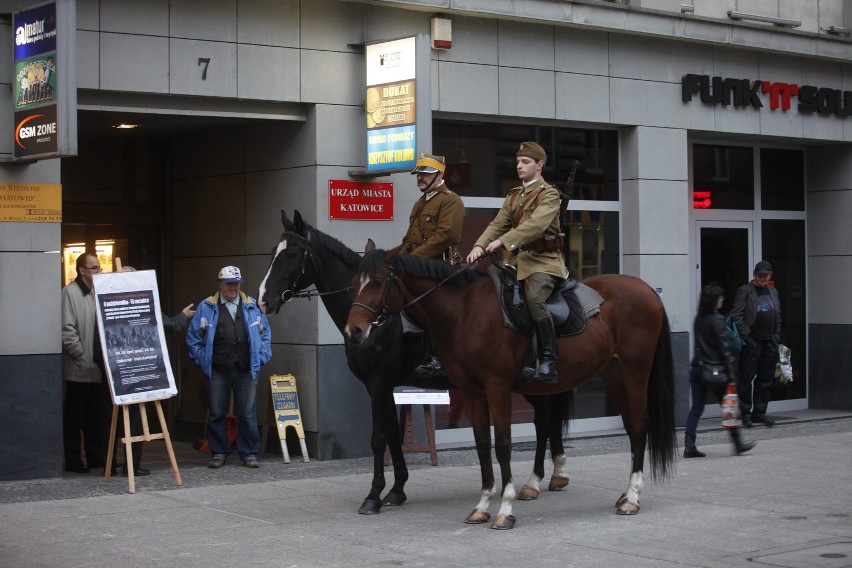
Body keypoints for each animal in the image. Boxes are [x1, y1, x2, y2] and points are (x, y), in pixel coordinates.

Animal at [256, 212, 568, 516]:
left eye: (292, 253)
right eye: (272, 252)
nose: (263, 301)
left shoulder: (379, 382)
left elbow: (378, 437)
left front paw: (373, 496)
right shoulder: (380, 386)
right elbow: (393, 434)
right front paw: (396, 490)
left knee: (544, 421)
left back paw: (538, 480)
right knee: (546, 420)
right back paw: (549, 477)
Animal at [342, 246, 676, 532]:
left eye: (377, 282)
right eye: (354, 282)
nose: (353, 331)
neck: (465, 312)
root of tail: (645, 288)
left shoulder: (497, 387)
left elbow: (502, 444)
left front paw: (505, 509)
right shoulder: (472, 392)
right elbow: (481, 445)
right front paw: (482, 506)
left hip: (635, 372)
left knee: (639, 426)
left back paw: (632, 497)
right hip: (614, 374)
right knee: (627, 428)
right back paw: (620, 493)